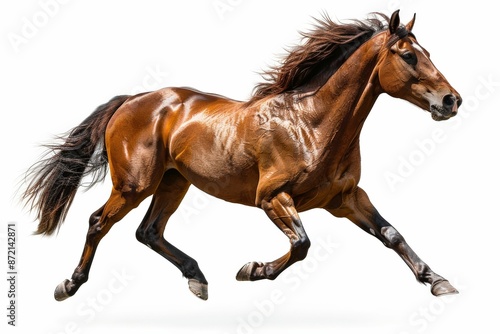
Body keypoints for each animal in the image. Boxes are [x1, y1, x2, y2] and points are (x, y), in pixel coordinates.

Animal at [22, 11, 460, 302]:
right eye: (408, 55)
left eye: (427, 51)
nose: (451, 100)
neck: (311, 124)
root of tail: (134, 99)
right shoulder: (272, 198)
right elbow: (302, 244)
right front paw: (252, 271)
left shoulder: (347, 199)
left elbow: (392, 234)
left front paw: (439, 281)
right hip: (134, 185)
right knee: (99, 223)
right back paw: (69, 284)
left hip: (174, 182)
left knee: (148, 231)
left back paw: (197, 278)